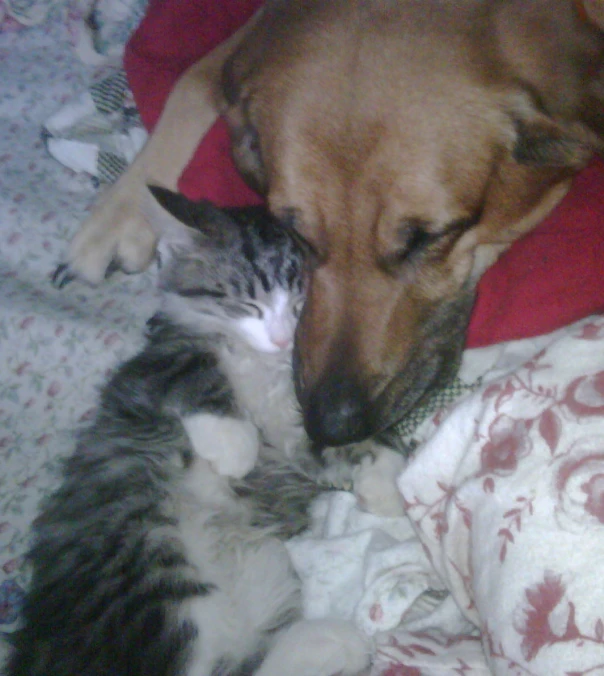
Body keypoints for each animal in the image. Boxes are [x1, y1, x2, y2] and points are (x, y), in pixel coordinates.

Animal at [5, 186, 368, 676]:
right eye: (247, 305)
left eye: (300, 306)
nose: (280, 339)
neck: (262, 367)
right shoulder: (152, 364)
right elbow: (195, 370)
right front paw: (236, 447)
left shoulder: (299, 411)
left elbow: (330, 444)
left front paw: (387, 478)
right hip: (152, 564)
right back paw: (333, 640)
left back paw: (333, 642)